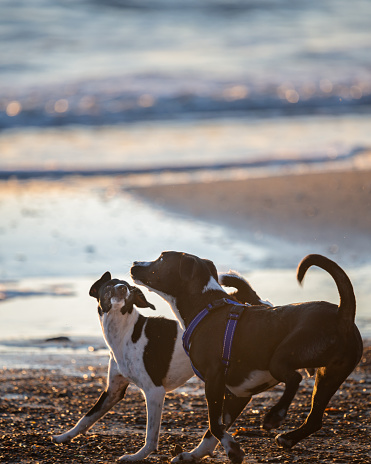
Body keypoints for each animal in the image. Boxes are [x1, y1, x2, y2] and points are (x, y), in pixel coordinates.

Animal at [52, 270, 272, 458]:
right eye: (110, 286)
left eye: (128, 288)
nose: (122, 288)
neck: (124, 332)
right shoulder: (113, 391)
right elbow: (86, 418)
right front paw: (64, 436)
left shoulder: (154, 392)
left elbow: (151, 435)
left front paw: (138, 456)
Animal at [132, 254, 364, 464]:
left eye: (162, 258)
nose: (135, 263)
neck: (206, 306)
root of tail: (343, 313)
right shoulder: (238, 394)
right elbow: (214, 429)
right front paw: (195, 454)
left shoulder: (214, 380)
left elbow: (214, 424)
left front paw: (232, 449)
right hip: (329, 375)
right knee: (315, 419)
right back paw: (288, 438)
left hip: (281, 357)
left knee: (294, 378)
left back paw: (275, 415)